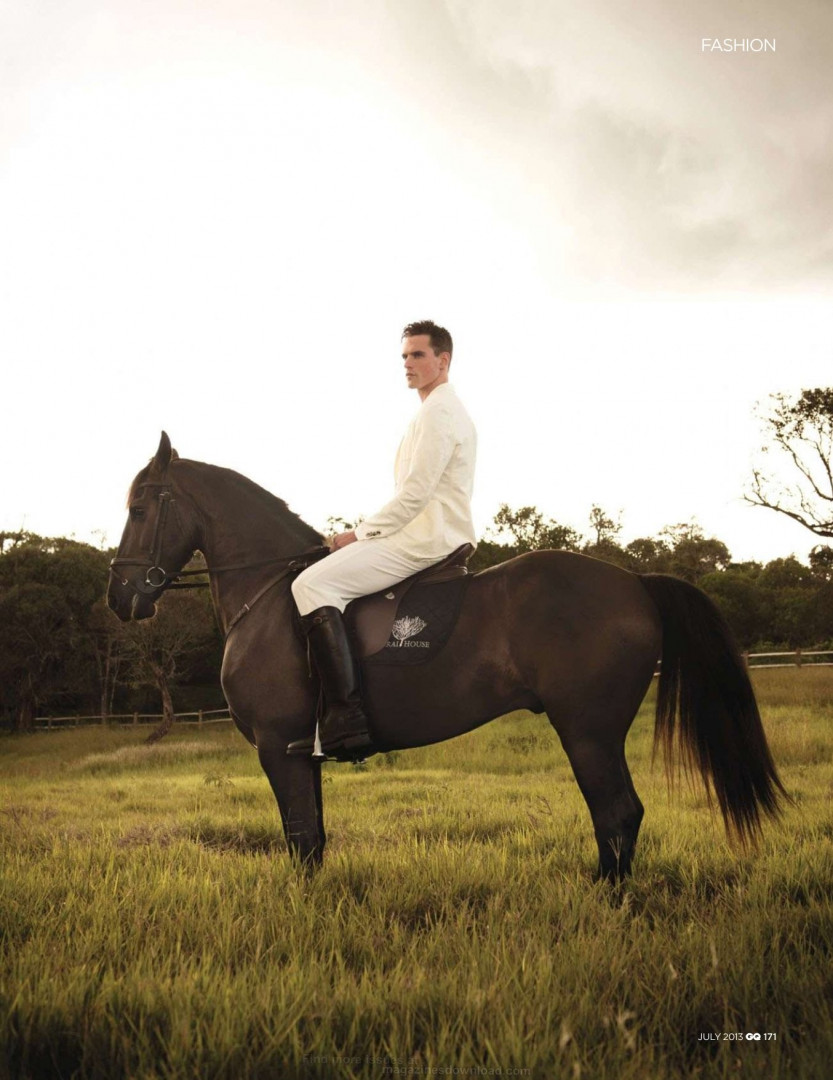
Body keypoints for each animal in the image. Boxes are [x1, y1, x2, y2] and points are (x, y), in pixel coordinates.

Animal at [107, 433, 787, 880]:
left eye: (138, 508)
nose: (120, 598)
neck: (270, 593)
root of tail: (635, 581)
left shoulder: (280, 746)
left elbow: (301, 843)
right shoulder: (304, 751)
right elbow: (316, 840)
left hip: (587, 729)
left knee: (617, 813)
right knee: (619, 817)